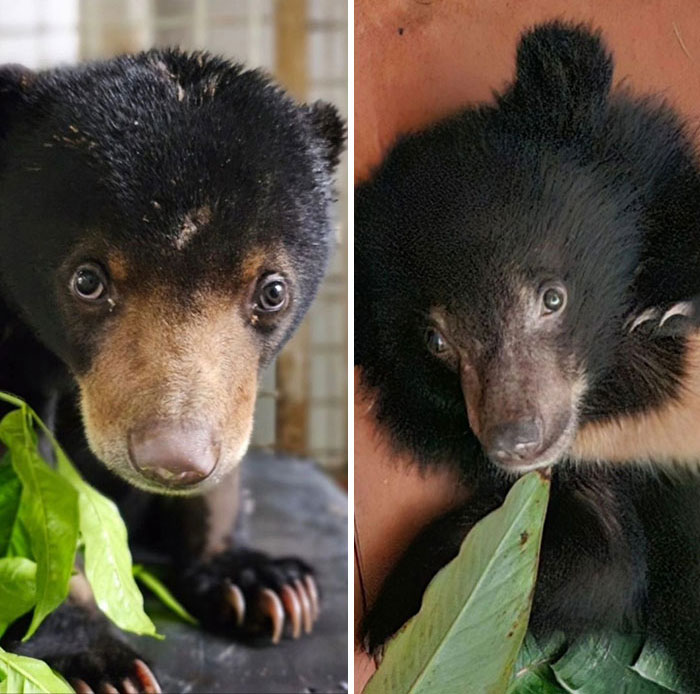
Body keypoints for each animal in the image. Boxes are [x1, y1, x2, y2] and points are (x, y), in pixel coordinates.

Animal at [355, 21, 700, 689]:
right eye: (436, 341)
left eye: (552, 297)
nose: (516, 439)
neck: (615, 393)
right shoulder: (601, 483)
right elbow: (594, 560)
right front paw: (396, 612)